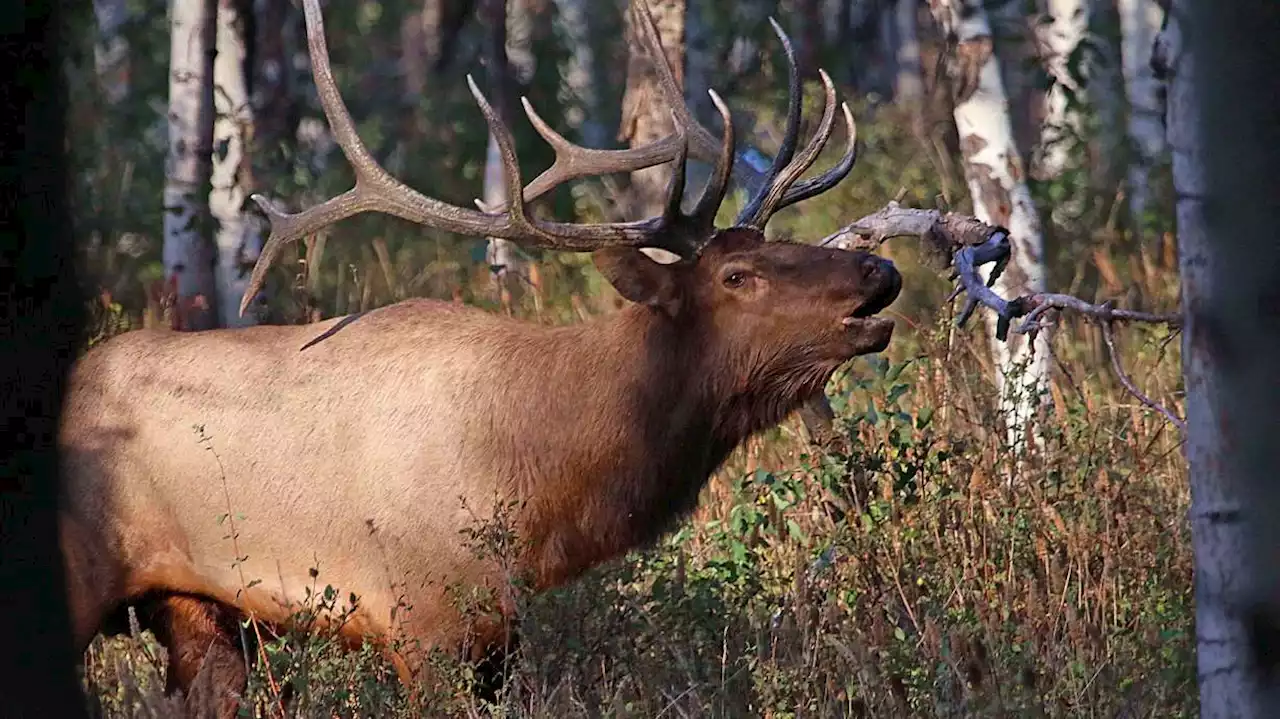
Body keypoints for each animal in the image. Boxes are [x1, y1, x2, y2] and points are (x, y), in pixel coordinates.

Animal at [57, 0, 901, 711]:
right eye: (737, 275)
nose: (877, 271)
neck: (542, 478)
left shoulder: (502, 631)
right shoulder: (420, 617)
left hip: (195, 606)